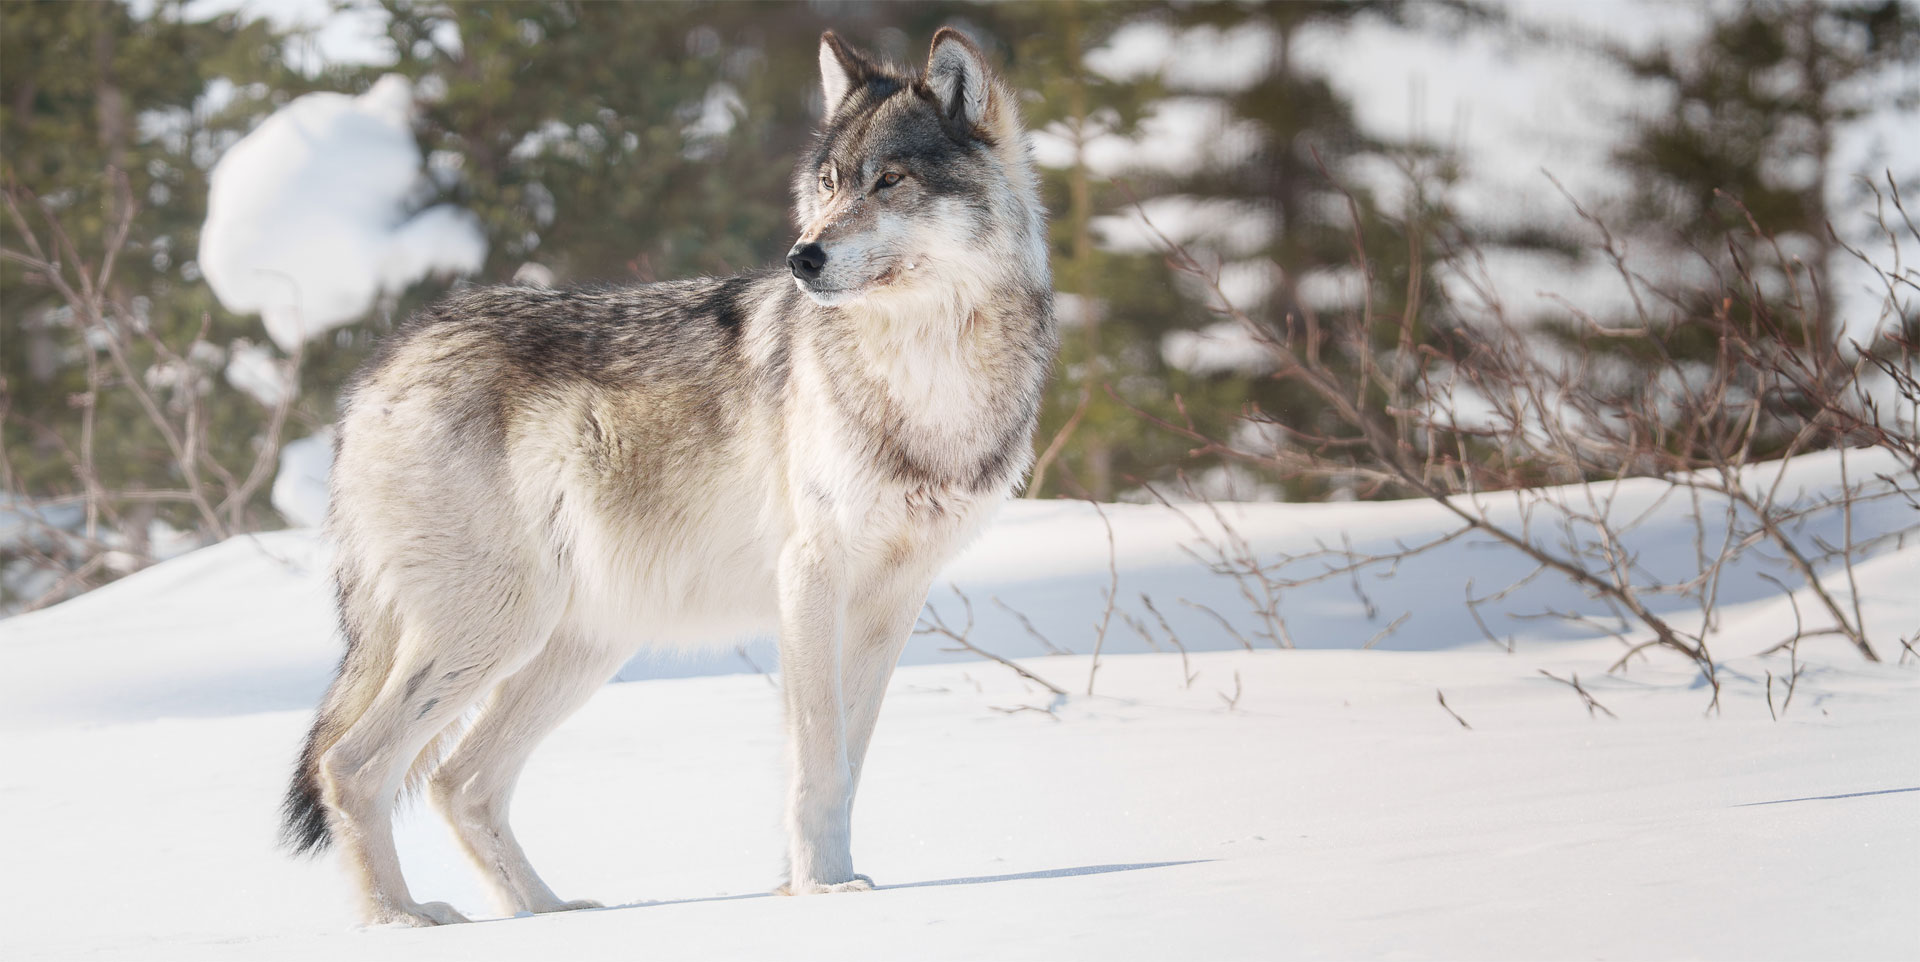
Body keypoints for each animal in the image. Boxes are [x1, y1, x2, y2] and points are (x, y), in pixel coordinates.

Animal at [279, 28, 1055, 926]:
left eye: (890, 180)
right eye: (829, 184)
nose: (802, 257)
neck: (925, 374)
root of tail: (383, 362)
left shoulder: (894, 599)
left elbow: (847, 759)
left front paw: (804, 883)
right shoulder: (810, 578)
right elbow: (819, 759)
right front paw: (825, 891)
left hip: (578, 646)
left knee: (457, 782)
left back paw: (548, 913)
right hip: (495, 630)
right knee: (353, 765)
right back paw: (400, 921)